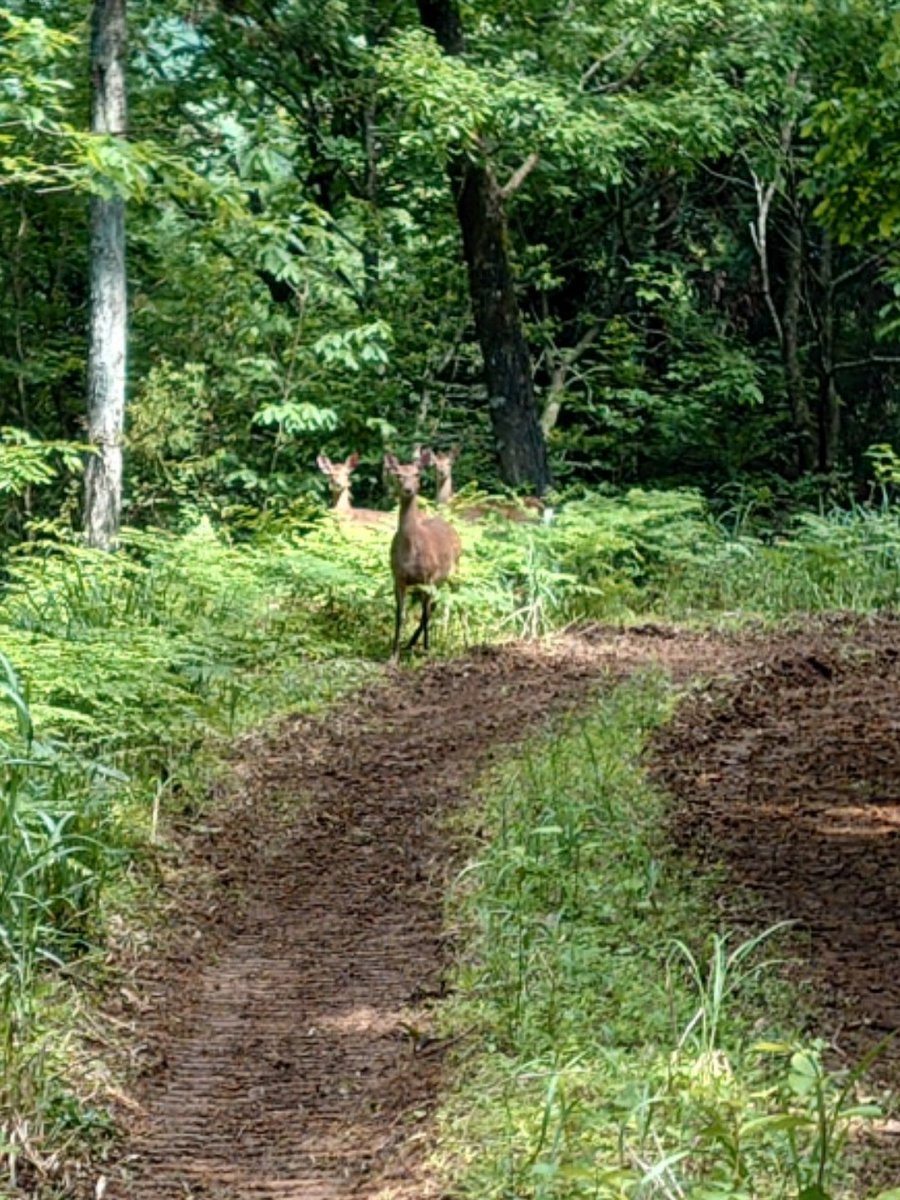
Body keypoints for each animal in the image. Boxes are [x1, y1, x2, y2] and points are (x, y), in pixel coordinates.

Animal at [384, 449, 462, 661]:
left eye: (417, 474)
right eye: (398, 474)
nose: (408, 489)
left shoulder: (428, 576)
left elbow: (424, 615)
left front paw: (427, 651)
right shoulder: (398, 577)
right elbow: (400, 615)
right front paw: (394, 655)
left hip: (453, 572)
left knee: (448, 604)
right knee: (432, 606)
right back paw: (410, 643)